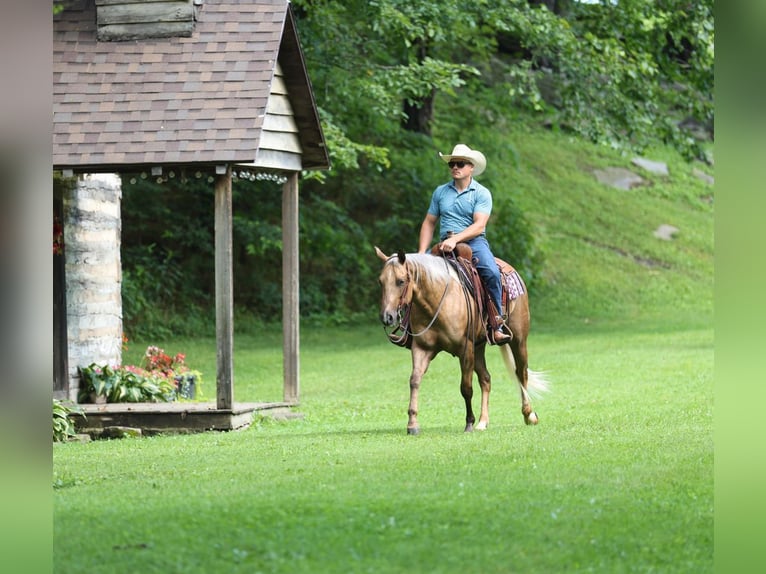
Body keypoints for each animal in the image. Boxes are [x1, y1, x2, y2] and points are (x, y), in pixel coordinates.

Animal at [375, 246, 548, 435]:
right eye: (381, 282)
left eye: (400, 281)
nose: (387, 317)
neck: (438, 301)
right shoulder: (422, 348)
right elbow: (414, 380)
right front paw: (412, 424)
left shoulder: (465, 350)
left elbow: (466, 388)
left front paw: (469, 423)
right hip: (479, 347)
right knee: (486, 379)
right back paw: (483, 422)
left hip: (518, 340)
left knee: (521, 373)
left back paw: (529, 415)